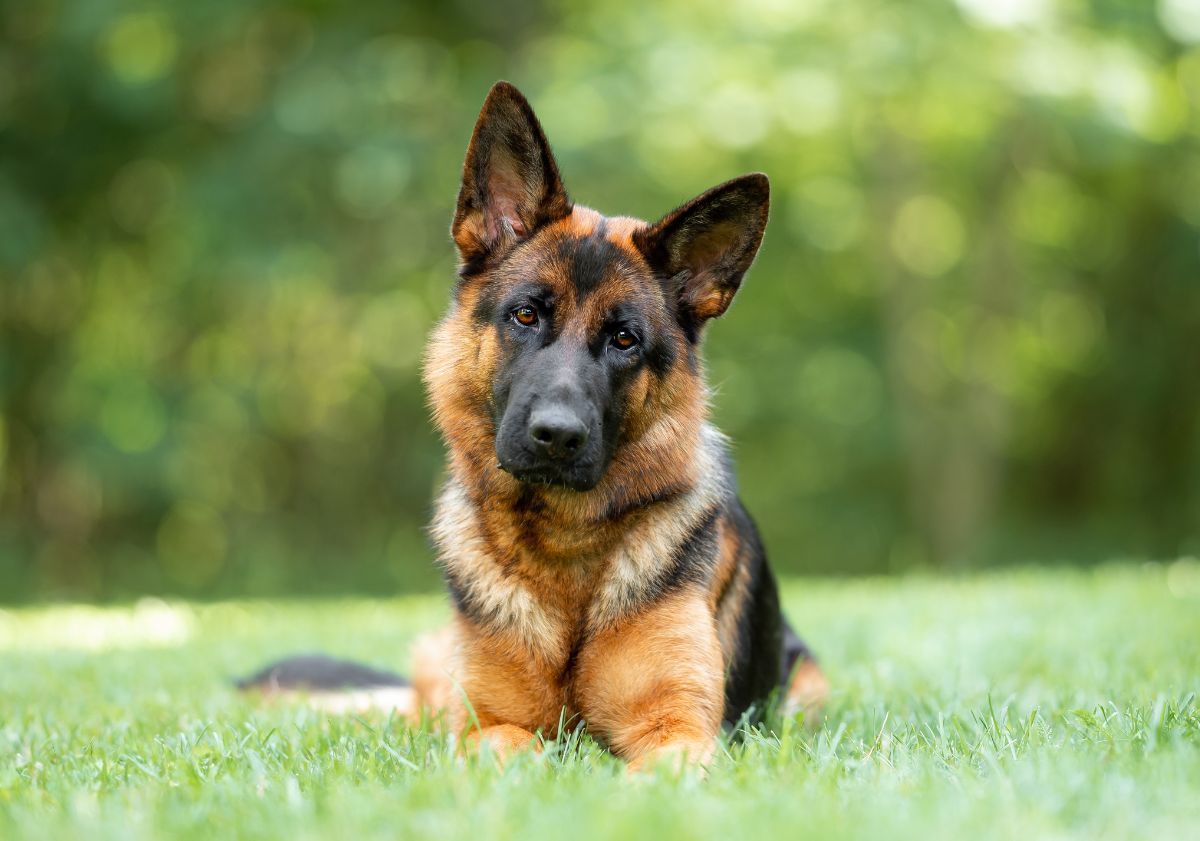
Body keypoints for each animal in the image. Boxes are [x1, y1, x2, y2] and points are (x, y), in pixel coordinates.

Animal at [243, 82, 825, 772]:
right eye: (525, 315)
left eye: (625, 340)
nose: (557, 435)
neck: (562, 552)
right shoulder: (485, 725)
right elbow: (515, 747)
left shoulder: (678, 725)